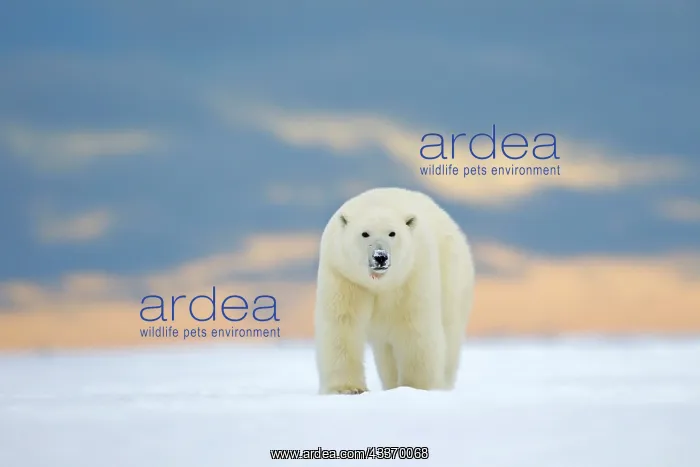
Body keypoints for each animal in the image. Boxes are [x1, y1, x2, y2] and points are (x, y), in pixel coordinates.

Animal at [313, 187, 475, 395]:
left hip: (452, 278)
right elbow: (342, 324)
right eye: (364, 233)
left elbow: (414, 327)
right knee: (385, 350)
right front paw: (348, 389)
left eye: (392, 233)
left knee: (449, 332)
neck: (379, 283)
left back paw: (442, 384)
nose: (380, 257)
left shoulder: (412, 274)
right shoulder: (343, 275)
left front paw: (416, 386)